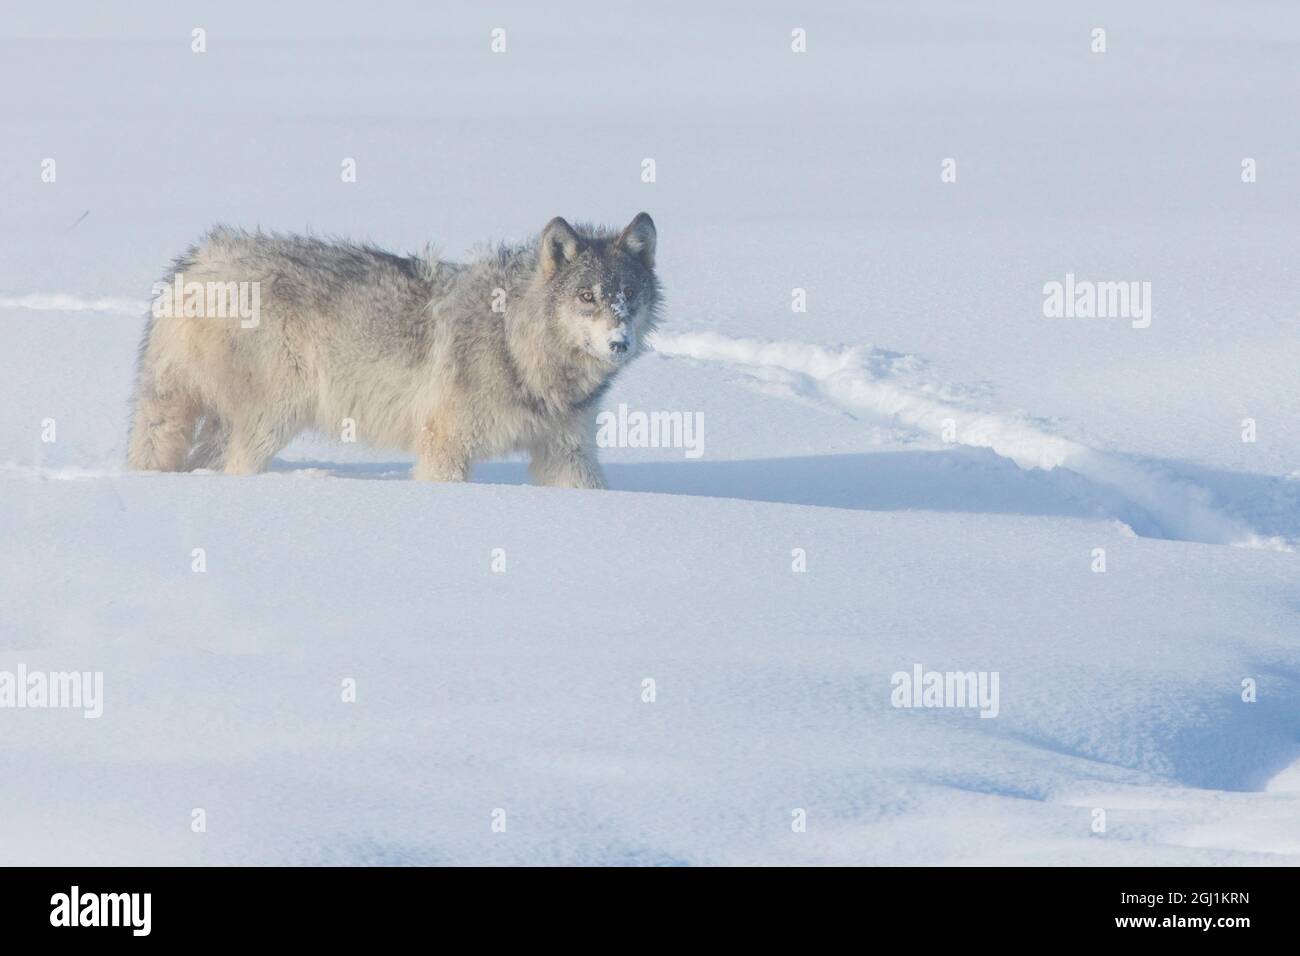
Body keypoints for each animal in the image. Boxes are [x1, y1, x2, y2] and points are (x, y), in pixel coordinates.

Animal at [126, 214, 661, 487]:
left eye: (627, 295)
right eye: (586, 297)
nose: (619, 343)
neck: (518, 348)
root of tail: (196, 265)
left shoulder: (568, 454)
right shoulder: (445, 449)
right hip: (269, 423)